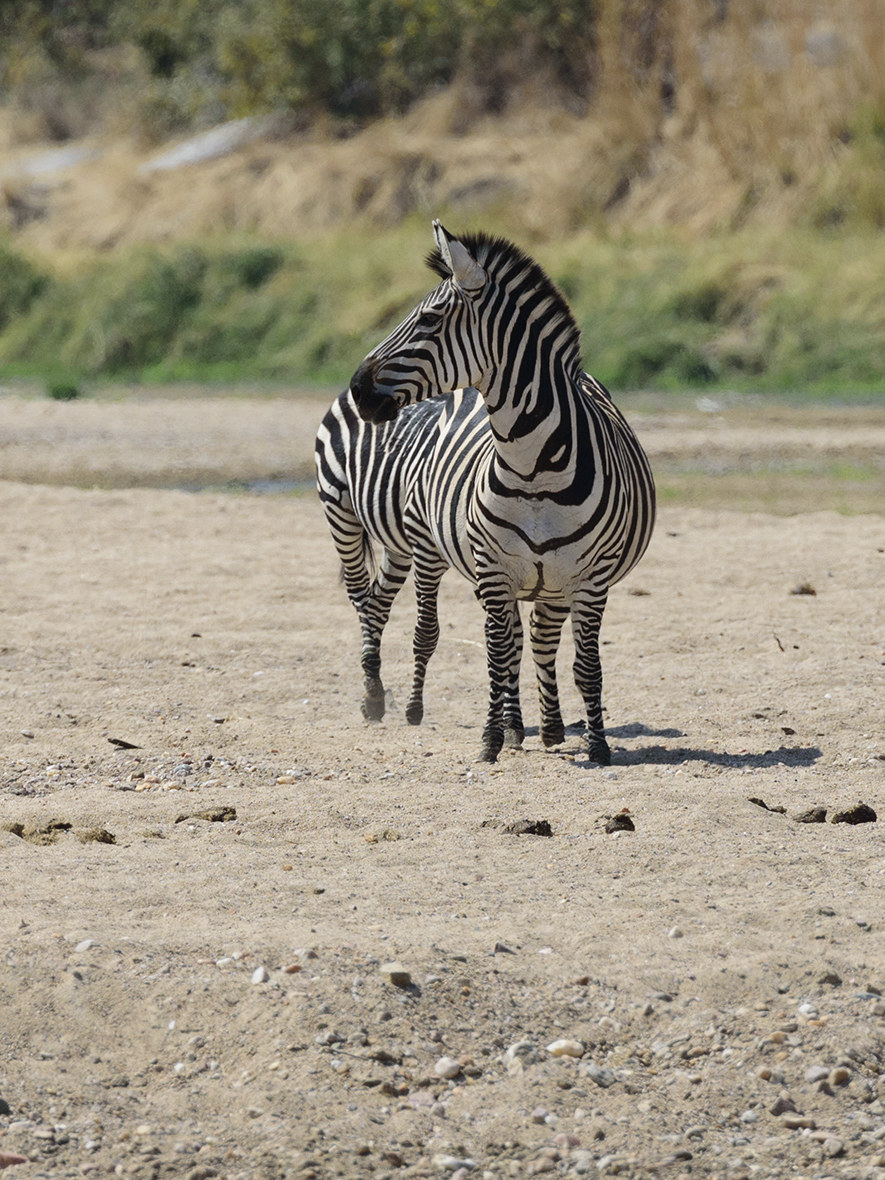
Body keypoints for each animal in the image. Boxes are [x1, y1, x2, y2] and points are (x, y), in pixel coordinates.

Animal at [319, 221, 656, 764]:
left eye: (429, 319)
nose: (358, 390)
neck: (535, 467)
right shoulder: (495, 569)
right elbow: (498, 654)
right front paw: (490, 739)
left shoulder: (591, 578)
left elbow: (585, 664)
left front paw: (598, 745)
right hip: (348, 518)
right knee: (369, 599)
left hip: (540, 576)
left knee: (536, 638)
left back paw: (549, 727)